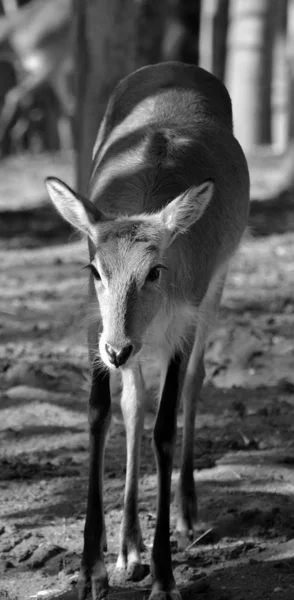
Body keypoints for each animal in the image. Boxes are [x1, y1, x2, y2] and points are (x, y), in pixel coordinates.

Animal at [44, 62, 249, 600]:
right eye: (95, 269)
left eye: (155, 270)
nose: (118, 350)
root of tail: (178, 65)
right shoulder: (95, 325)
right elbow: (101, 414)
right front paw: (93, 569)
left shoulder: (182, 323)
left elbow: (164, 427)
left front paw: (165, 576)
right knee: (134, 403)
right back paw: (127, 549)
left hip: (214, 293)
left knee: (194, 382)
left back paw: (185, 515)